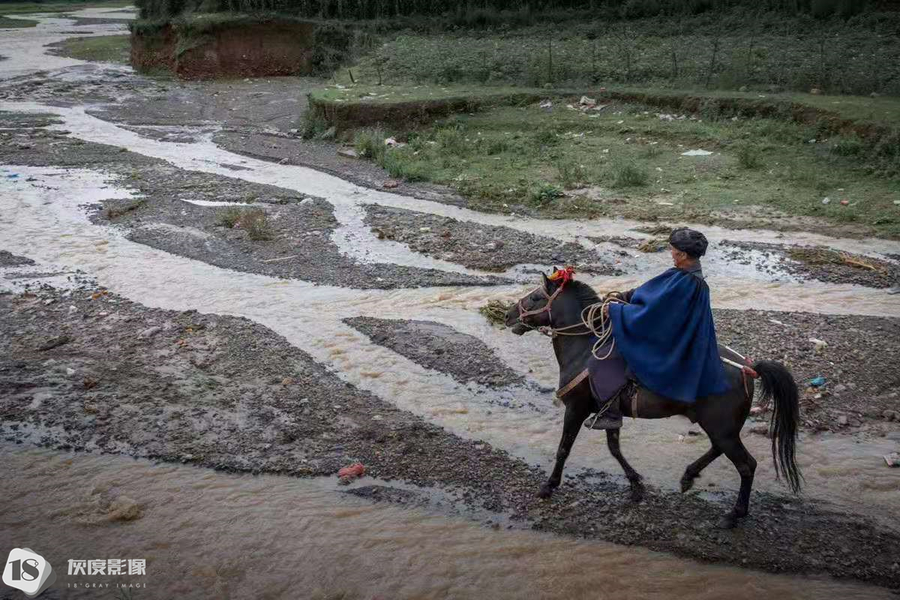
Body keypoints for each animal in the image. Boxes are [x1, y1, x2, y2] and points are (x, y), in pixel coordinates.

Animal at [506, 272, 800, 528]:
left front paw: (548, 486)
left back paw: (734, 514)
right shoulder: (607, 412)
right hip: (721, 427)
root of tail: (748, 368)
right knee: (719, 450)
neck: (583, 350)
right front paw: (636, 485)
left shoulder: (576, 409)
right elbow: (614, 449)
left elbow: (564, 448)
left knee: (746, 465)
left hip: (722, 427)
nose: (508, 315)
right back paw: (688, 477)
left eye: (535, 297)